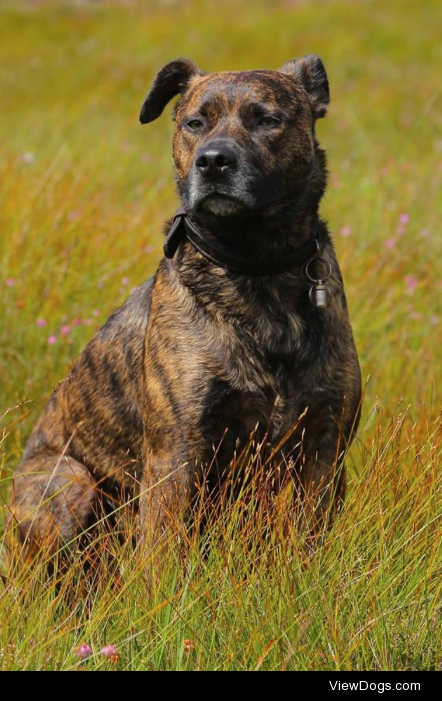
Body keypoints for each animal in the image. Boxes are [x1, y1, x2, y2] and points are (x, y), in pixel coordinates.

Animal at [7, 54, 362, 556]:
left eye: (268, 120)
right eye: (195, 123)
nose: (213, 161)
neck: (256, 267)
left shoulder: (324, 446)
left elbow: (310, 540)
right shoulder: (176, 452)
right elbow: (162, 553)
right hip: (70, 482)